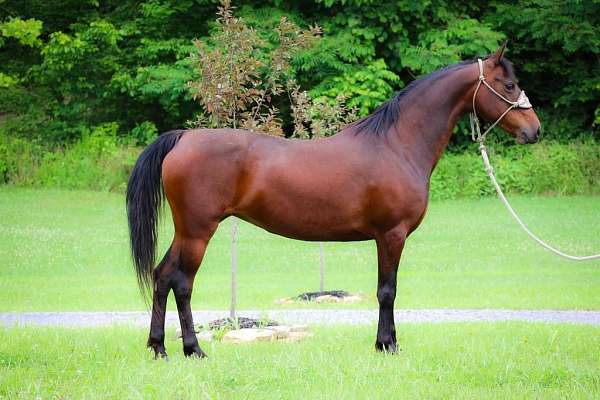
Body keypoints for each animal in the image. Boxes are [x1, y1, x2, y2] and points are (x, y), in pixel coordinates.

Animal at [125, 44, 540, 360]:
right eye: (509, 84)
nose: (534, 131)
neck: (397, 144)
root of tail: (183, 137)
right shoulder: (392, 235)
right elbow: (387, 291)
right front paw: (387, 345)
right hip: (198, 231)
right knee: (181, 283)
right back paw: (193, 350)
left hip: (187, 232)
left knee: (162, 276)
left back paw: (159, 348)